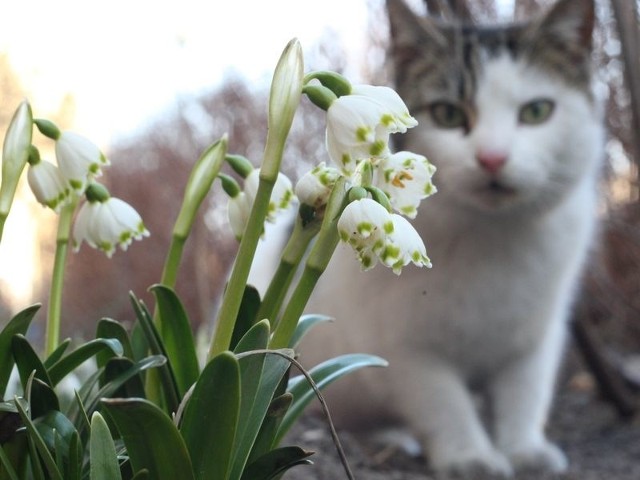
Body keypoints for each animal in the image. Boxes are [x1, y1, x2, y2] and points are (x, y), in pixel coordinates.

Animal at [298, 0, 604, 474]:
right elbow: (445, 405)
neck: (493, 236)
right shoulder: (409, 346)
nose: (493, 159)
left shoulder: (537, 335)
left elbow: (524, 395)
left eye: (536, 112)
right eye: (448, 114)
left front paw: (526, 453)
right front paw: (472, 460)